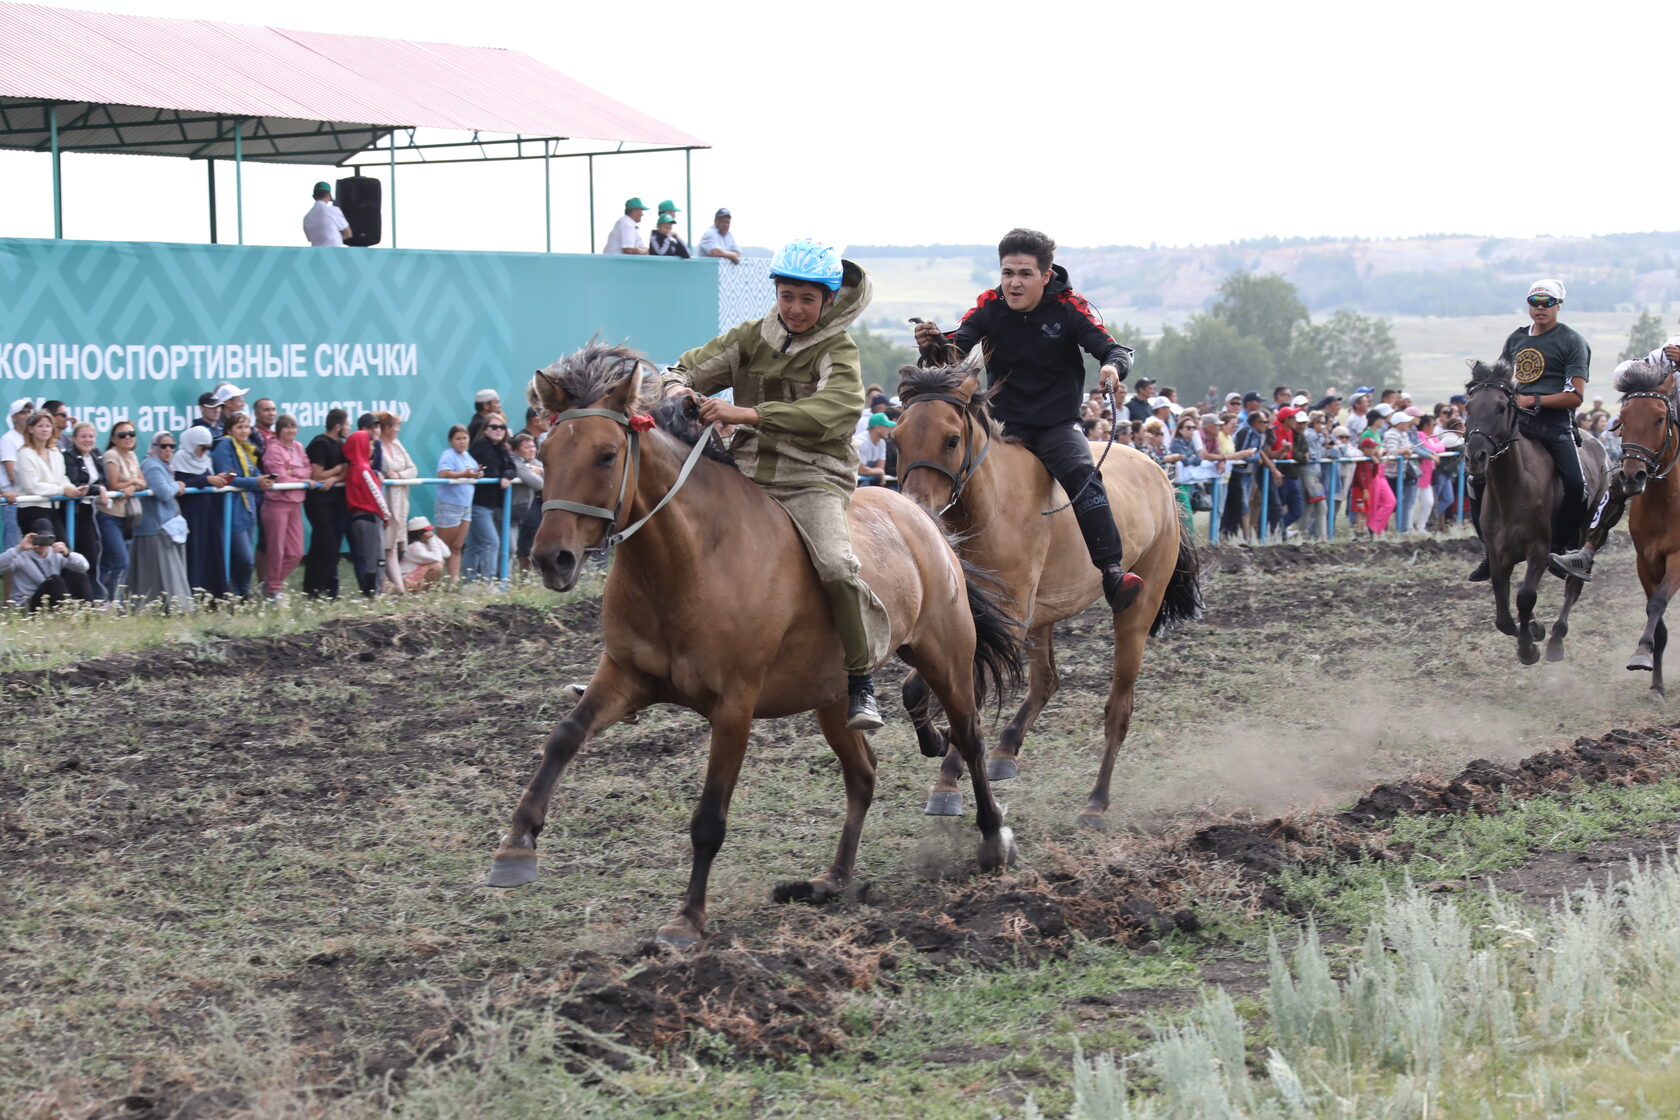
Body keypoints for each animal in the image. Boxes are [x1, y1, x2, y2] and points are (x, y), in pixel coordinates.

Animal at [487, 342, 1021, 947]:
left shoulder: (733, 707)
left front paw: (687, 919)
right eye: (546, 453)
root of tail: (922, 517)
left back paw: (990, 837)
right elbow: (564, 736)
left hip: (944, 657)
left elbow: (709, 819)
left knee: (970, 739)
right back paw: (833, 878)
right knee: (863, 774)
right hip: (833, 696)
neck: (688, 561)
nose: (551, 558)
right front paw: (515, 847)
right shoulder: (624, 675)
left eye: (605, 455)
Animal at [893, 364, 1196, 829]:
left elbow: (967, 695)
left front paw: (947, 777)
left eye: (951, 439)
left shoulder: (1007, 617)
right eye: (896, 439)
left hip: (1137, 609)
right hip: (1043, 615)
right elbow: (918, 690)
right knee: (1047, 679)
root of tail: (1161, 474)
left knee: (1119, 709)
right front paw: (939, 748)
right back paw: (1006, 749)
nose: (916, 510)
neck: (988, 506)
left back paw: (1096, 802)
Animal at [1464, 359, 1606, 661]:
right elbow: (1503, 617)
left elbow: (1525, 597)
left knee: (1573, 585)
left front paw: (1530, 646)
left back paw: (1556, 639)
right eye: (1468, 407)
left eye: (1501, 407)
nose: (1475, 457)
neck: (1512, 489)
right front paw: (1530, 629)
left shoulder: (1538, 549)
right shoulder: (1498, 555)